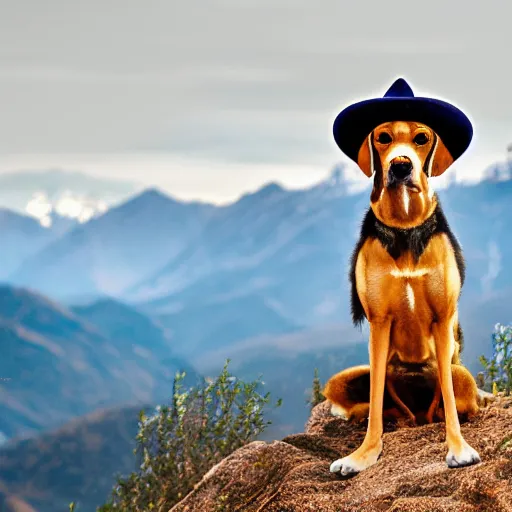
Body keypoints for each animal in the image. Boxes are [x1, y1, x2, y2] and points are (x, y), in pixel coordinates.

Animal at [326, 78, 482, 478]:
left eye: (422, 138)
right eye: (382, 137)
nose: (399, 166)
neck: (405, 226)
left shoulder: (443, 320)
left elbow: (448, 396)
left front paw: (458, 448)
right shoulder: (379, 322)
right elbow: (376, 401)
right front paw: (363, 454)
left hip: (462, 374)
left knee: (453, 402)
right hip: (344, 378)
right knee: (377, 405)